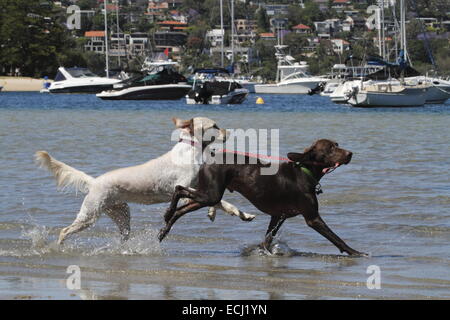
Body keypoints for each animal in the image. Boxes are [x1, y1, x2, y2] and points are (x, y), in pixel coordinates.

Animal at [36, 116, 253, 244]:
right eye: (214, 126)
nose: (229, 132)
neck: (191, 149)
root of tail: (94, 181)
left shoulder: (198, 189)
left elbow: (217, 203)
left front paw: (237, 214)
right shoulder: (184, 192)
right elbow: (218, 201)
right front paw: (232, 212)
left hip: (122, 214)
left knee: (123, 234)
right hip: (89, 215)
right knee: (64, 231)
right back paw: (59, 247)